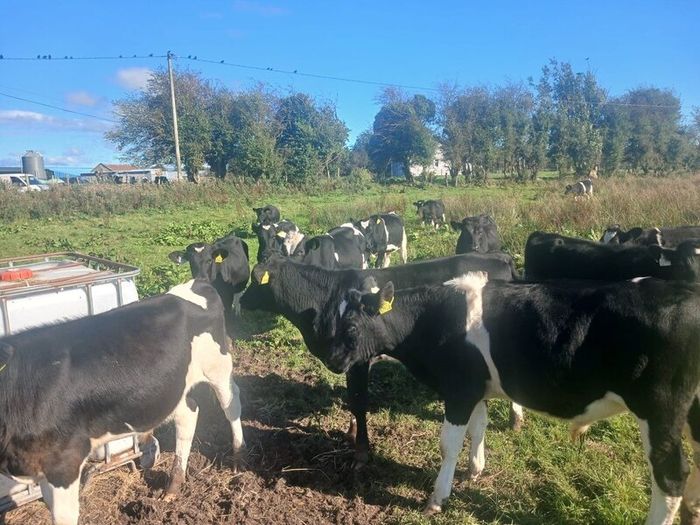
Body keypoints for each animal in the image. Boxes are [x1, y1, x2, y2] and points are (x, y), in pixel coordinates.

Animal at [0, 280, 244, 525]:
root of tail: (196, 284)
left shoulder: (64, 462)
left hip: (217, 366)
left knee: (232, 403)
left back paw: (238, 456)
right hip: (173, 389)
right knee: (189, 413)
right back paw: (173, 486)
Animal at [239, 252, 521, 468]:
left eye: (254, 280)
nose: (241, 300)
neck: (326, 300)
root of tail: (500, 256)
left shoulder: (358, 359)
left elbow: (358, 400)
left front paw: (361, 451)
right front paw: (351, 432)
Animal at [327, 273, 700, 523]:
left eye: (351, 327)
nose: (332, 360)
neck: (432, 319)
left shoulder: (459, 390)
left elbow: (448, 445)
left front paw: (437, 498)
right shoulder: (477, 390)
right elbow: (479, 428)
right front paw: (475, 471)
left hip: (659, 408)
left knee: (670, 475)